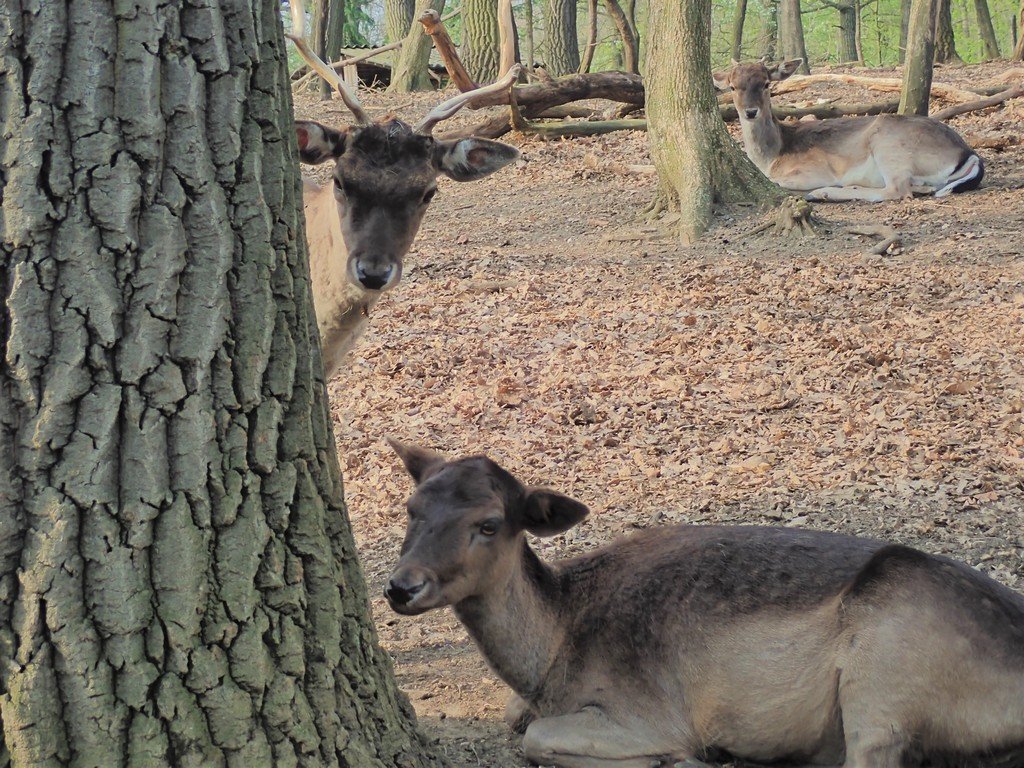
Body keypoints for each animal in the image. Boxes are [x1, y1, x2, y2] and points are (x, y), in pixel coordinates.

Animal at [382, 438, 1024, 768]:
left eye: (489, 524)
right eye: (412, 507)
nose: (400, 586)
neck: (555, 656)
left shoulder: (647, 709)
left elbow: (536, 739)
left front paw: (683, 756)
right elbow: (516, 717)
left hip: (883, 681)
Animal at [712, 60, 983, 204]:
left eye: (767, 83)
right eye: (733, 87)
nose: (750, 112)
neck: (772, 157)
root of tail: (968, 152)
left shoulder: (814, 170)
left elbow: (777, 182)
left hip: (889, 145)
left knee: (897, 190)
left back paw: (824, 192)